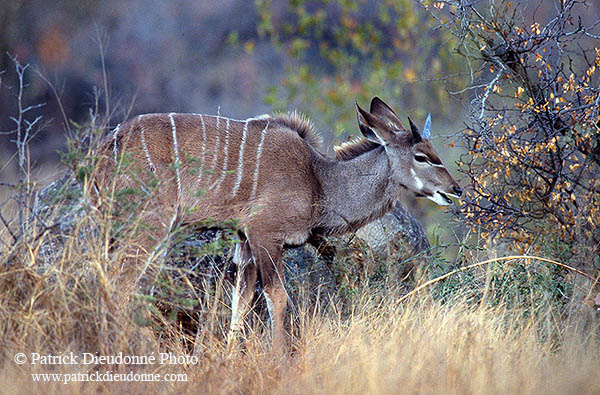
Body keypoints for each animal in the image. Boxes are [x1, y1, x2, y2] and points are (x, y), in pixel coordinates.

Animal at [92, 97, 460, 352]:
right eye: (422, 156)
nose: (454, 189)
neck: (318, 180)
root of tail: (107, 148)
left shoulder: (244, 241)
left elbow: (240, 303)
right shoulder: (265, 235)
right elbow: (278, 298)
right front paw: (279, 358)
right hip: (150, 225)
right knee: (122, 282)